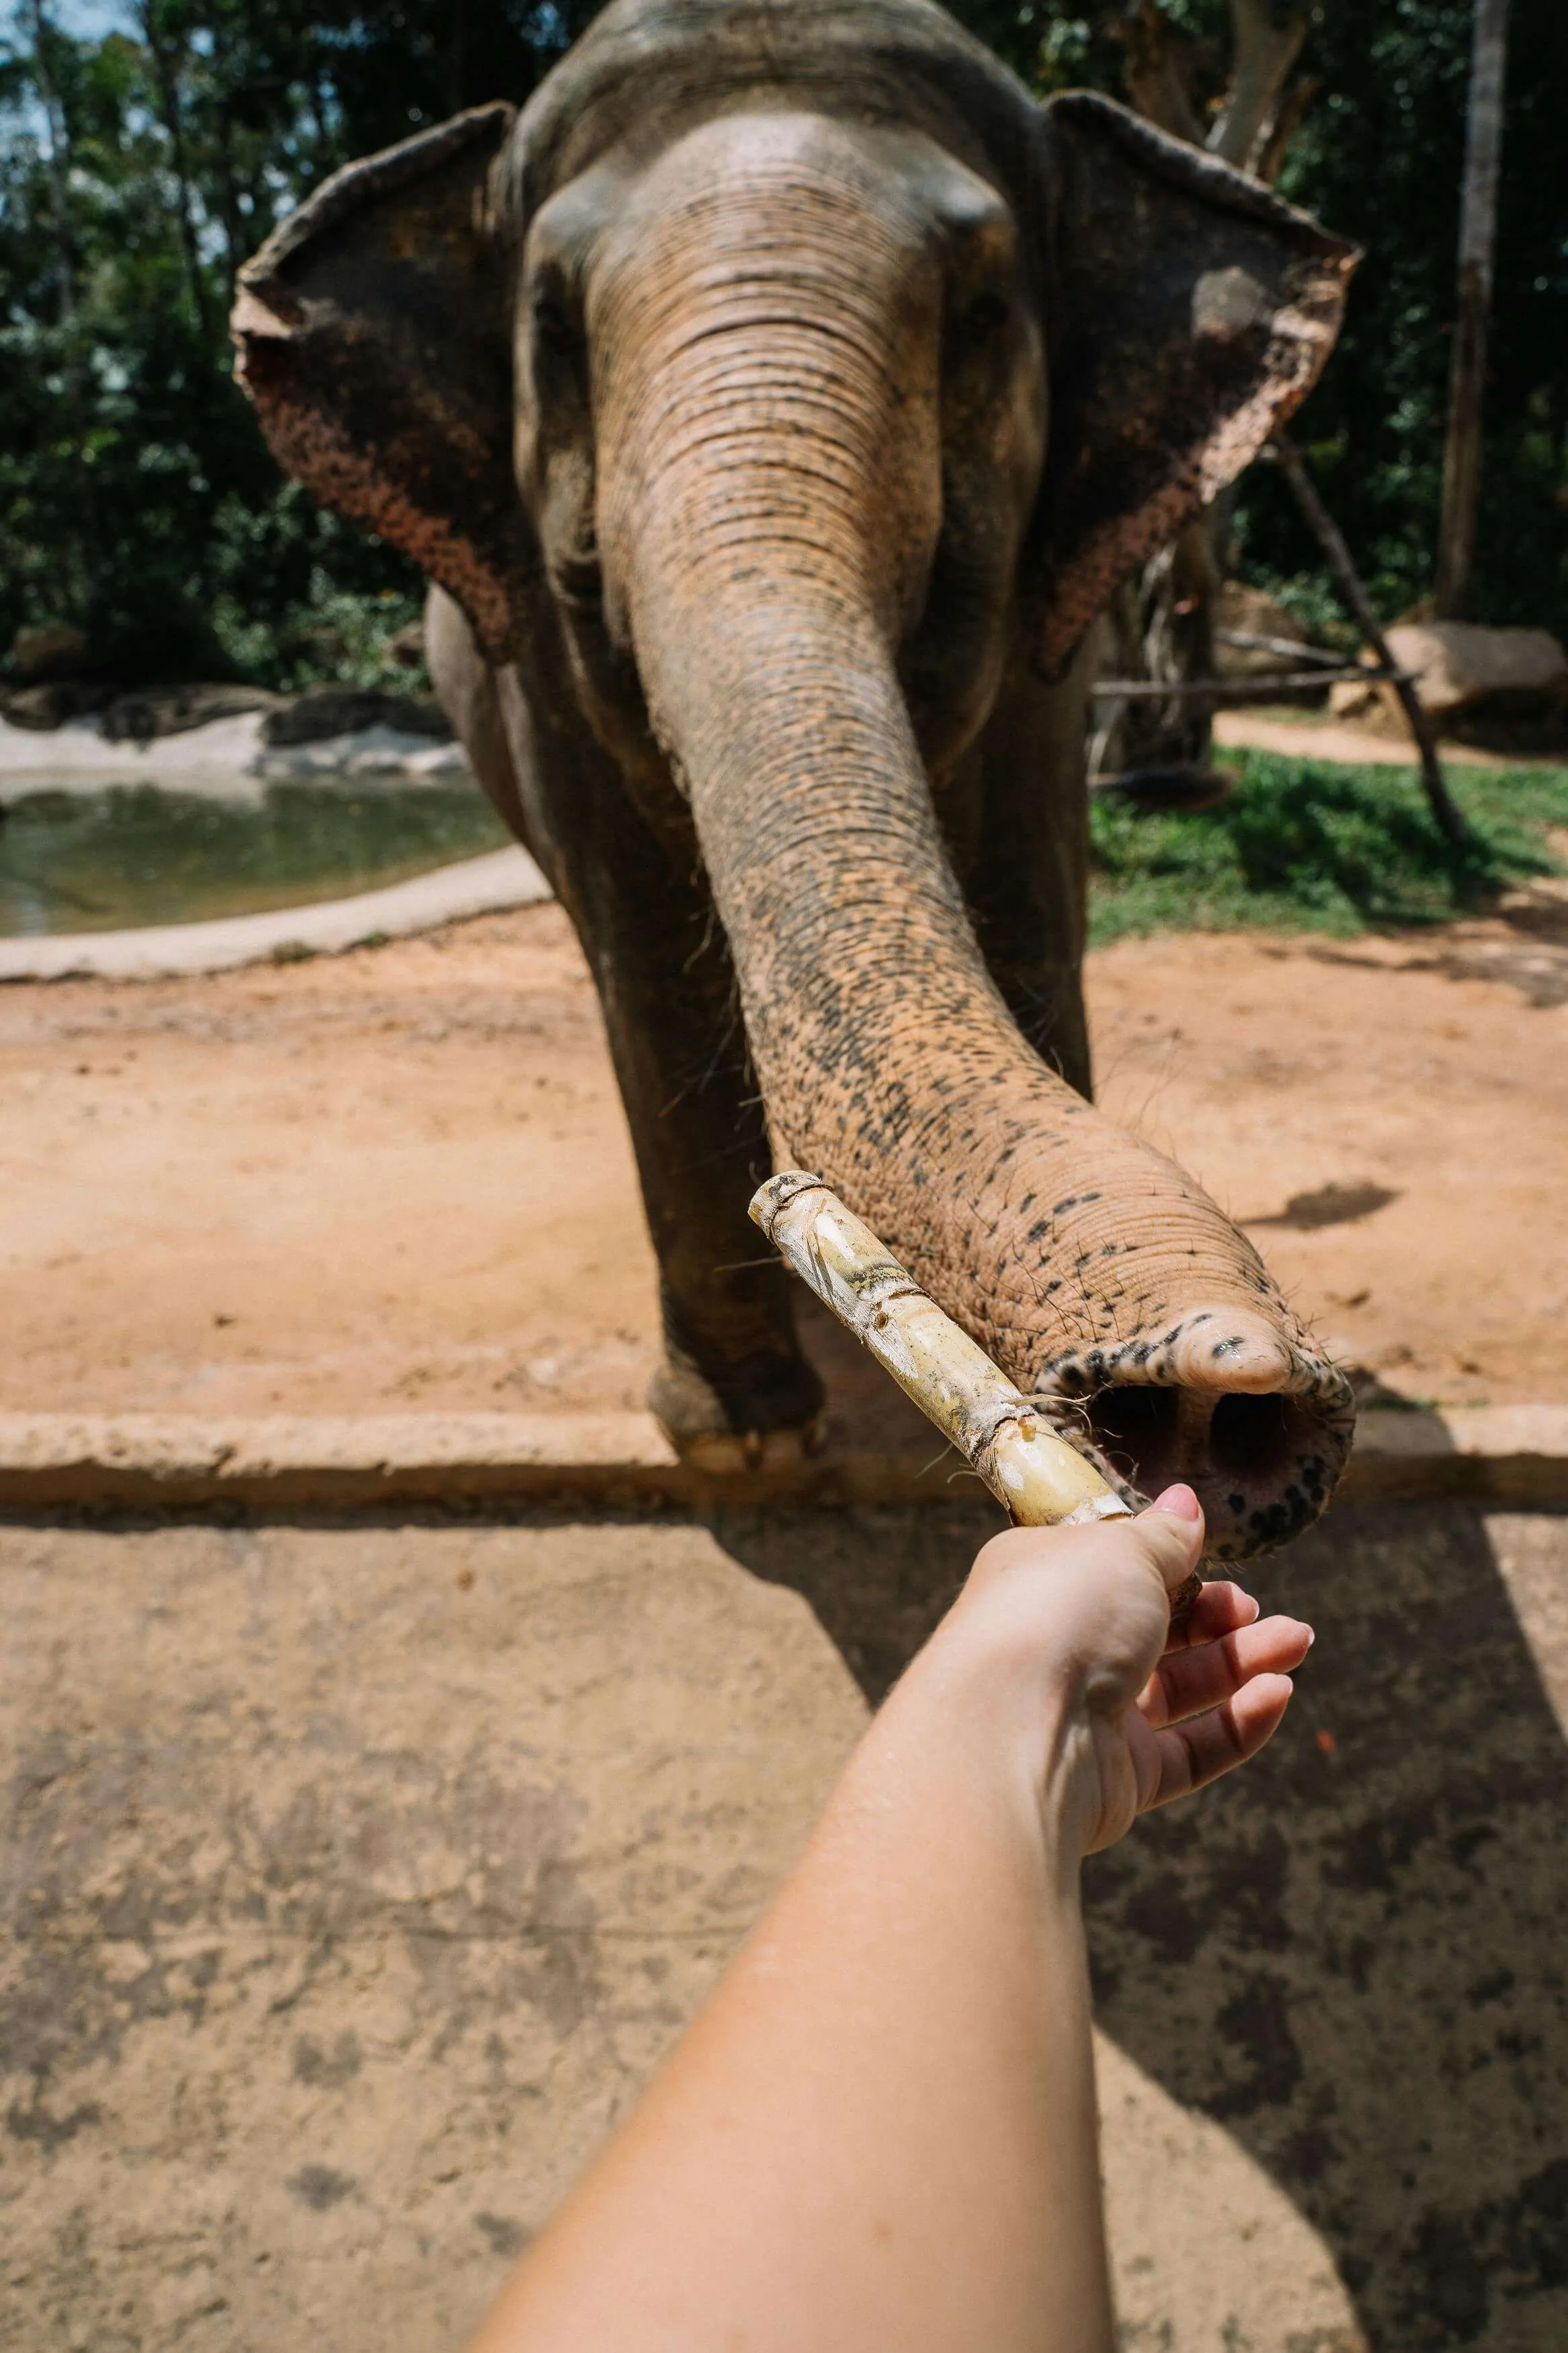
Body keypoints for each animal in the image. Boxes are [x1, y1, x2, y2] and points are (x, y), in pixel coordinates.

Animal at [232, 0, 1360, 1559]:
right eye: (549, 325)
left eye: (984, 312)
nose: (1210, 1378)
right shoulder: (538, 663)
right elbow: (647, 960)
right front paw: (742, 1441)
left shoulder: (1052, 647)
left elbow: (1026, 903)